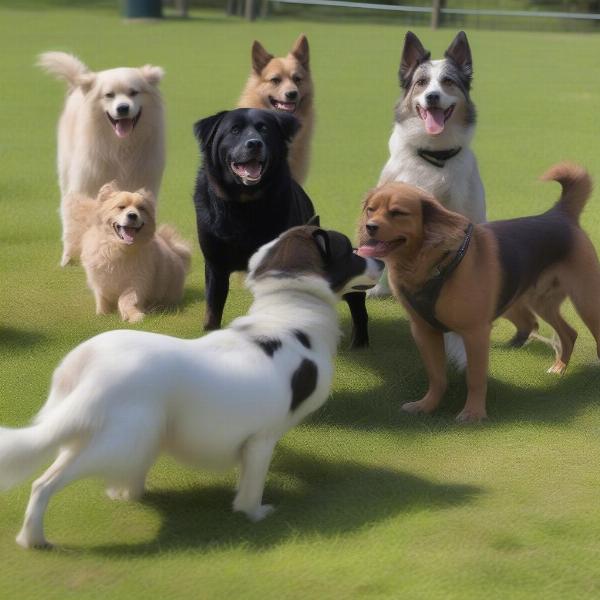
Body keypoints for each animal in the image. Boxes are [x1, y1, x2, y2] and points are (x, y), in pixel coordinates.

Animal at [0, 224, 382, 548]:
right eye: (349, 250)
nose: (379, 259)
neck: (287, 319)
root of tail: (90, 366)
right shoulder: (262, 438)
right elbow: (252, 484)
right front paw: (254, 513)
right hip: (121, 438)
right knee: (44, 483)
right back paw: (34, 538)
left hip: (99, 432)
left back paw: (123, 494)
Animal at [70, 182, 192, 324]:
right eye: (121, 207)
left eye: (141, 208)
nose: (133, 215)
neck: (118, 248)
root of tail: (174, 250)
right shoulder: (100, 280)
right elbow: (102, 297)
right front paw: (102, 313)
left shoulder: (136, 281)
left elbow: (126, 299)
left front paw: (134, 316)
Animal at [192, 105, 370, 344]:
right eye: (235, 130)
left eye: (264, 129)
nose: (254, 143)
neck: (244, 204)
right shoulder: (215, 265)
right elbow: (212, 308)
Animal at [356, 162, 600, 420]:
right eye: (371, 210)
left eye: (397, 212)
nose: (369, 227)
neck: (434, 263)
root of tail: (559, 214)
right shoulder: (424, 331)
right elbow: (436, 376)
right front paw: (426, 406)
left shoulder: (475, 333)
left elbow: (475, 378)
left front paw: (473, 414)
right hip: (542, 302)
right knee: (569, 333)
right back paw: (558, 368)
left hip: (587, 302)